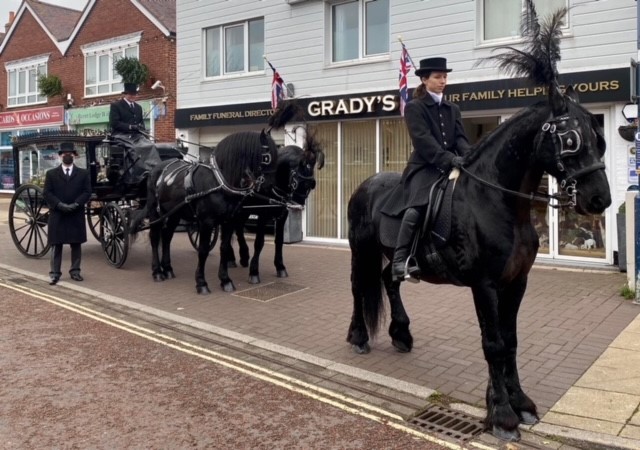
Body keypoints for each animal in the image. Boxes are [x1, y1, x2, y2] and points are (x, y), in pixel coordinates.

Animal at [224, 132, 324, 284]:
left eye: (311, 184)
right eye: (300, 181)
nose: (298, 205)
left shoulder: (282, 216)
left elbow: (279, 241)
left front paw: (280, 266)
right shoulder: (263, 214)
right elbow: (259, 242)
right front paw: (254, 272)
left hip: (244, 210)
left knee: (238, 228)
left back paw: (243, 256)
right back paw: (231, 258)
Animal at [344, 2, 608, 442]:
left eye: (600, 139)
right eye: (571, 139)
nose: (600, 198)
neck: (500, 203)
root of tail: (367, 183)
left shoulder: (516, 282)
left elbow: (511, 340)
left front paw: (520, 404)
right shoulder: (484, 284)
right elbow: (493, 344)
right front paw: (501, 415)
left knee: (388, 280)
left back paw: (401, 334)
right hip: (359, 248)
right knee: (358, 286)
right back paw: (358, 337)